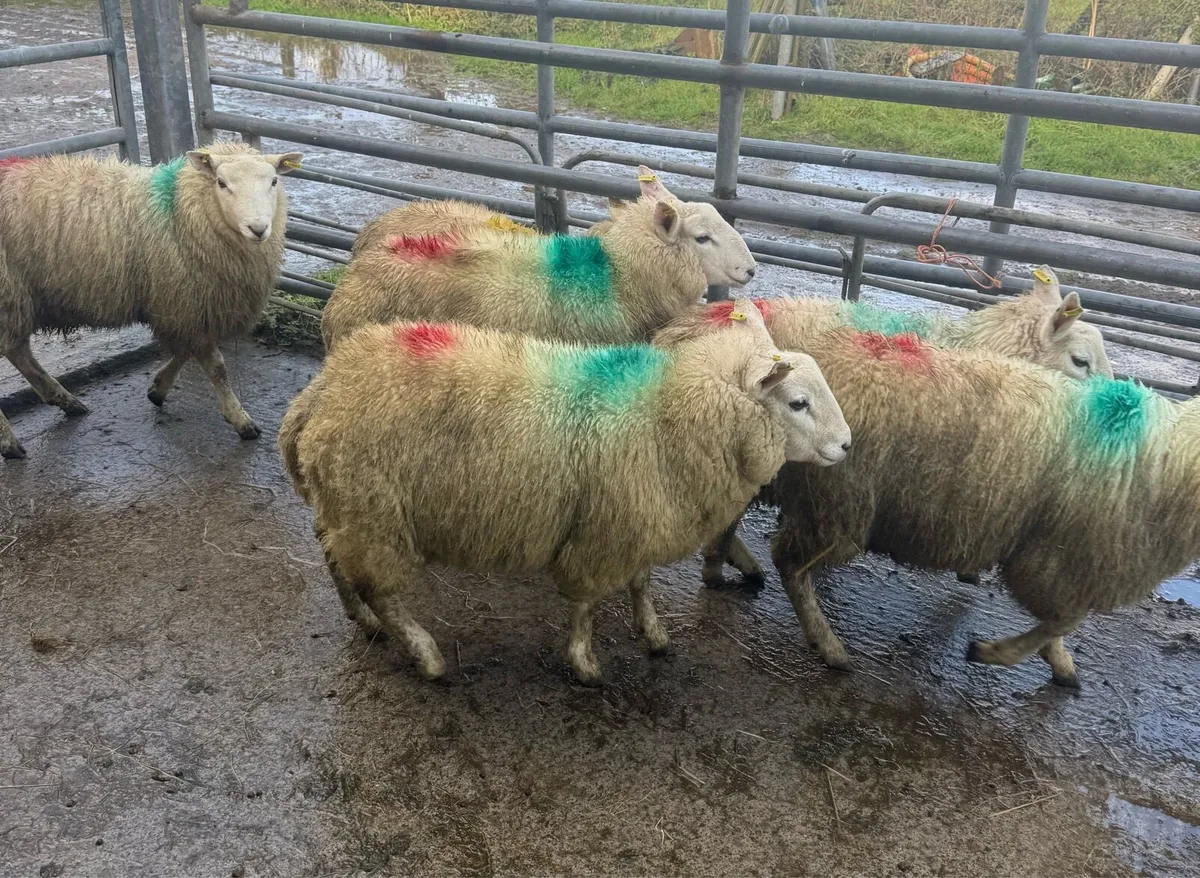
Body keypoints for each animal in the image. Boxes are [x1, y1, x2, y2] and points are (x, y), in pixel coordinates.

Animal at [0, 143, 302, 459]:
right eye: (221, 183)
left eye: (274, 181)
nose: (258, 228)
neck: (179, 211)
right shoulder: (185, 300)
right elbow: (215, 366)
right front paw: (241, 421)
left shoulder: (180, 306)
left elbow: (184, 351)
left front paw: (158, 389)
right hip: (8, 294)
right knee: (16, 350)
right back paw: (10, 443)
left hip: (16, 300)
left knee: (18, 351)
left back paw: (66, 402)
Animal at [279, 298, 851, 684]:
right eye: (798, 402)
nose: (847, 444)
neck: (669, 411)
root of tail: (323, 391)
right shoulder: (603, 531)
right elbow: (587, 604)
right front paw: (585, 663)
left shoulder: (636, 514)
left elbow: (640, 583)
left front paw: (654, 635)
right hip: (375, 510)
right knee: (382, 588)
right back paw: (426, 655)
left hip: (346, 505)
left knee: (335, 559)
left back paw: (364, 620)